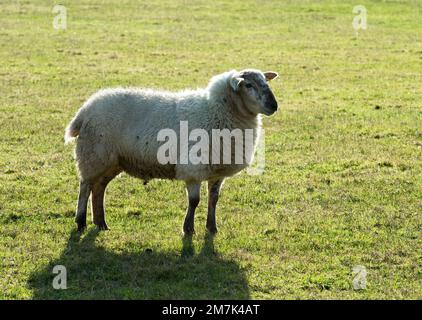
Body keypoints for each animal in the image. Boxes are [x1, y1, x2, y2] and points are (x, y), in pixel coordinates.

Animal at [64, 69, 278, 235]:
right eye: (248, 85)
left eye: (265, 81)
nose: (274, 105)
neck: (217, 110)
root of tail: (85, 110)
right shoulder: (194, 168)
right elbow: (194, 201)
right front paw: (188, 229)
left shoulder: (218, 171)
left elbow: (214, 199)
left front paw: (212, 228)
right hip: (93, 155)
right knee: (85, 187)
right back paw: (81, 222)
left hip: (112, 160)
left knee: (99, 188)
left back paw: (101, 223)